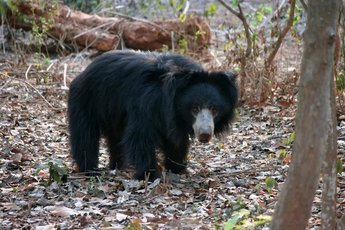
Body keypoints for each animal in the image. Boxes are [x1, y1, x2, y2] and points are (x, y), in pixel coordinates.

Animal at [68, 50, 238, 180]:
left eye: (214, 109)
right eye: (194, 108)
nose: (204, 134)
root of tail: (84, 71)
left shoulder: (173, 119)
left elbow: (175, 140)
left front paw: (177, 168)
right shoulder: (146, 103)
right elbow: (140, 136)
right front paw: (149, 174)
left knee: (115, 138)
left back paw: (118, 166)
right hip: (87, 100)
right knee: (85, 135)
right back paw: (89, 169)